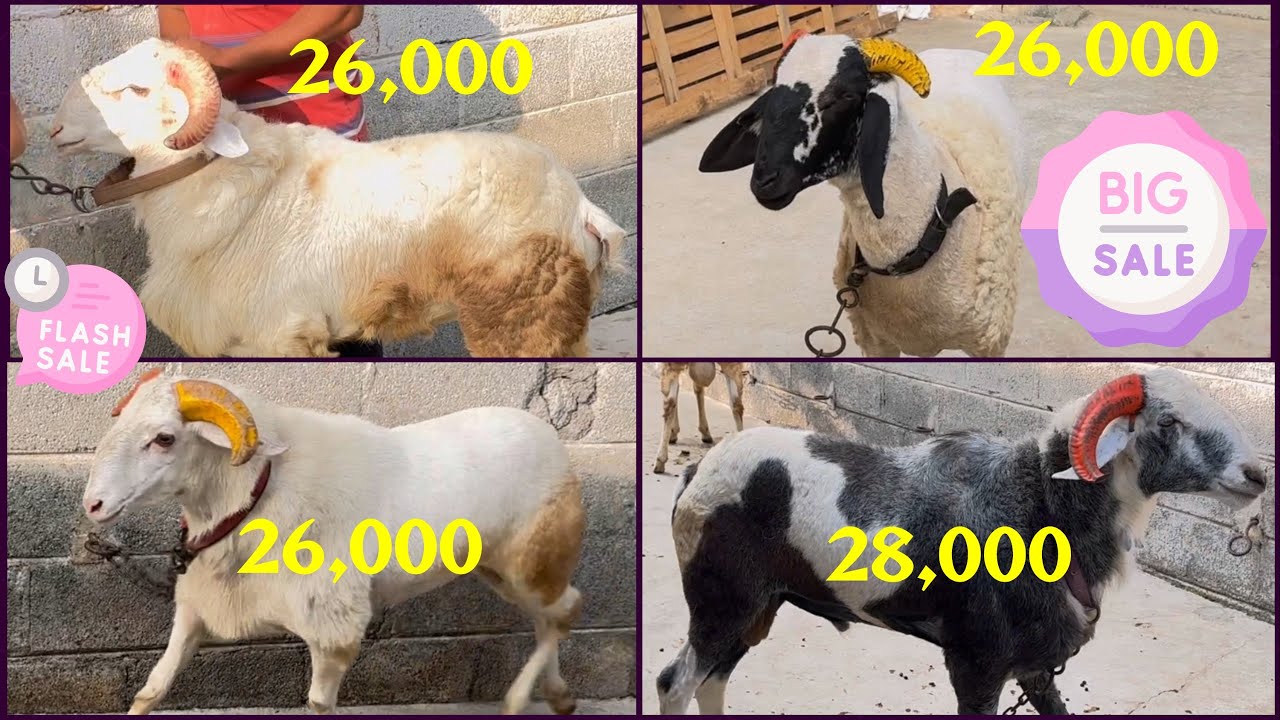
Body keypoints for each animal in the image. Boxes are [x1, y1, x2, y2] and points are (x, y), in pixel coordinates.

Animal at [82, 368, 586, 715]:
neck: (257, 494)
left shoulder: (333, 629)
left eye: (165, 438)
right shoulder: (197, 606)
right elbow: (152, 687)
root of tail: (549, 436)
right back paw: (558, 696)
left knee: (565, 612)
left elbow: (320, 704)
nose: (92, 504)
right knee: (550, 617)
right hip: (498, 567)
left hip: (532, 560)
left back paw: (523, 700)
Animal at [656, 367, 1267, 714]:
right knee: (675, 683)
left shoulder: (1035, 668)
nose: (1257, 475)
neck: (1040, 504)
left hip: (758, 607)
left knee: (712, 683)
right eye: (1168, 422)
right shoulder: (976, 661)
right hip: (721, 601)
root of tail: (697, 472)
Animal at [699, 33, 1027, 357]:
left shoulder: (989, 343)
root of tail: (952, 49)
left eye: (845, 96)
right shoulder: (875, 340)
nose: (764, 181)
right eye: (772, 97)